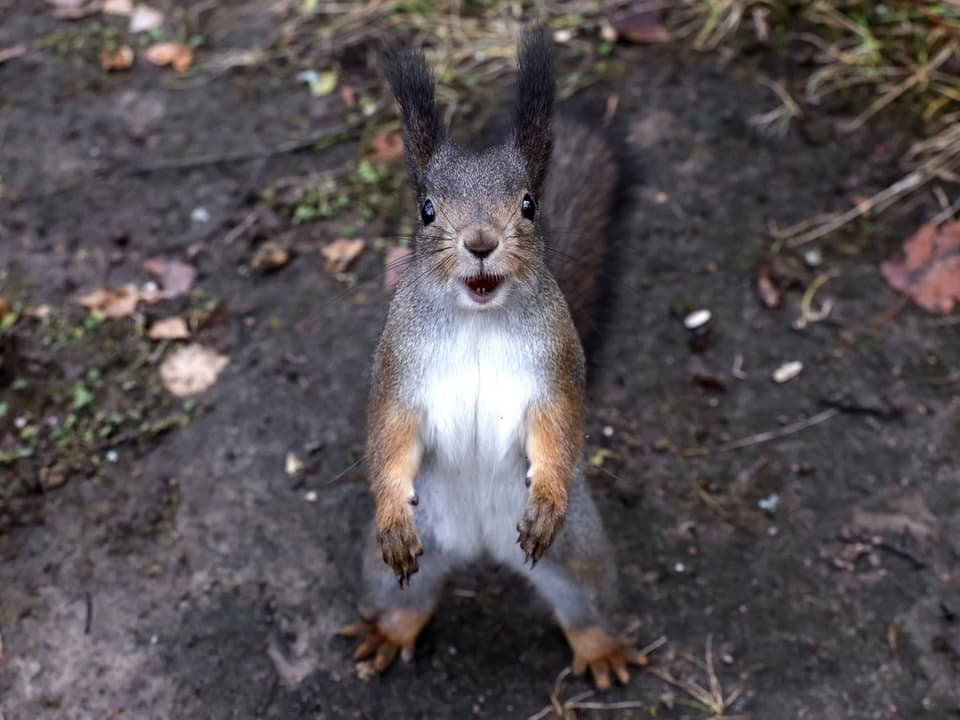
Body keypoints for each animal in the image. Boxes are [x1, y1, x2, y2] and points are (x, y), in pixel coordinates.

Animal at [338, 26, 644, 692]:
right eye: (427, 209)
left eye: (529, 204)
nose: (481, 243)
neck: (478, 318)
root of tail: (479, 546)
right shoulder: (398, 366)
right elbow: (389, 433)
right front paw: (391, 509)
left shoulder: (558, 362)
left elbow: (559, 428)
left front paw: (548, 494)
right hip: (396, 563)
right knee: (404, 595)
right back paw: (388, 630)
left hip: (579, 554)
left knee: (586, 602)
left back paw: (602, 648)